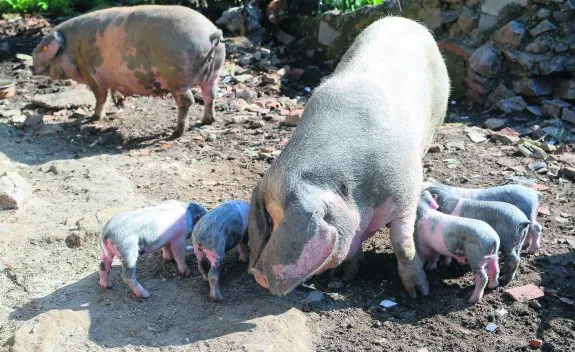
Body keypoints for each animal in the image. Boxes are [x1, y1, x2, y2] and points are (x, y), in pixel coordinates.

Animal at [30, 5, 226, 139]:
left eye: (43, 49)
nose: (31, 67)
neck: (73, 47)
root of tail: (212, 33)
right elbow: (113, 93)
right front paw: (120, 103)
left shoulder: (92, 74)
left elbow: (101, 98)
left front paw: (92, 119)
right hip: (214, 74)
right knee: (210, 95)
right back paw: (207, 121)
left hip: (177, 78)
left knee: (187, 101)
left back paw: (175, 133)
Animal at [245, 16, 452, 296]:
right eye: (267, 216)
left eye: (275, 216)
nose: (255, 273)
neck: (360, 193)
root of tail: (405, 20)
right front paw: (345, 276)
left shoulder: (404, 194)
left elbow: (402, 244)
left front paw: (418, 293)